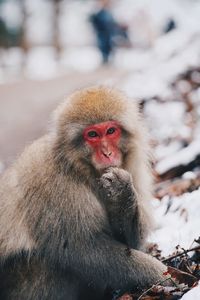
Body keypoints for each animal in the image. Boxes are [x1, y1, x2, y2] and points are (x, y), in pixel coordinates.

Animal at [0, 85, 166, 298]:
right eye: (93, 135)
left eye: (111, 131)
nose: (107, 153)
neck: (81, 168)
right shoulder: (54, 184)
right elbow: (81, 250)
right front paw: (161, 274)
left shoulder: (133, 170)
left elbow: (130, 241)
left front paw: (121, 193)